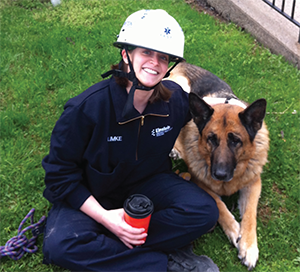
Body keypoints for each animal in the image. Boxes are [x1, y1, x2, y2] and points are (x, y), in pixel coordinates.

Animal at [169, 62, 270, 270]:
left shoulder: (253, 182)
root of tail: (182, 63)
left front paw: (249, 246)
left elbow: (250, 215)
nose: (220, 174)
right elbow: (219, 205)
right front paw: (234, 230)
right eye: (211, 139)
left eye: (235, 141)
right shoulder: (198, 181)